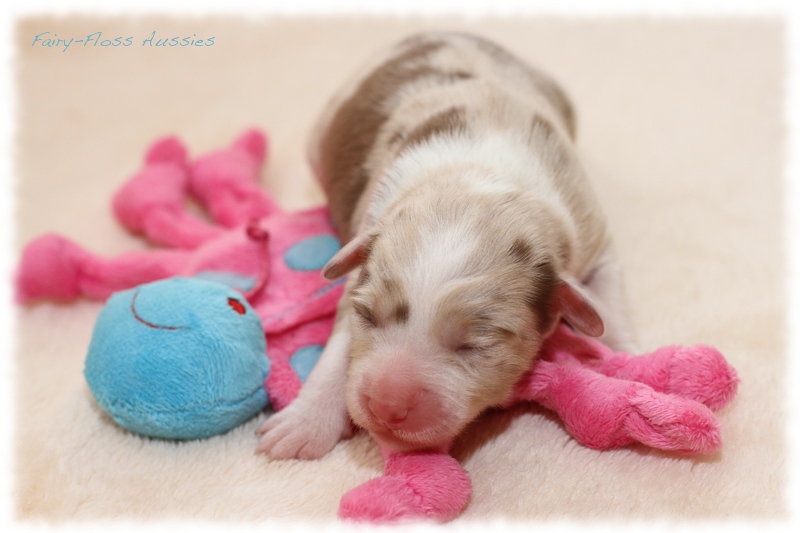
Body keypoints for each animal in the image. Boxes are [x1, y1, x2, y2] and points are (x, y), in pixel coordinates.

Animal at [258, 32, 636, 458]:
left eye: (474, 345)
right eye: (369, 316)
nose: (387, 406)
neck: (480, 178)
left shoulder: (592, 235)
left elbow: (610, 305)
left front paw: (625, 358)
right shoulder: (362, 264)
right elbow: (339, 345)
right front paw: (301, 425)